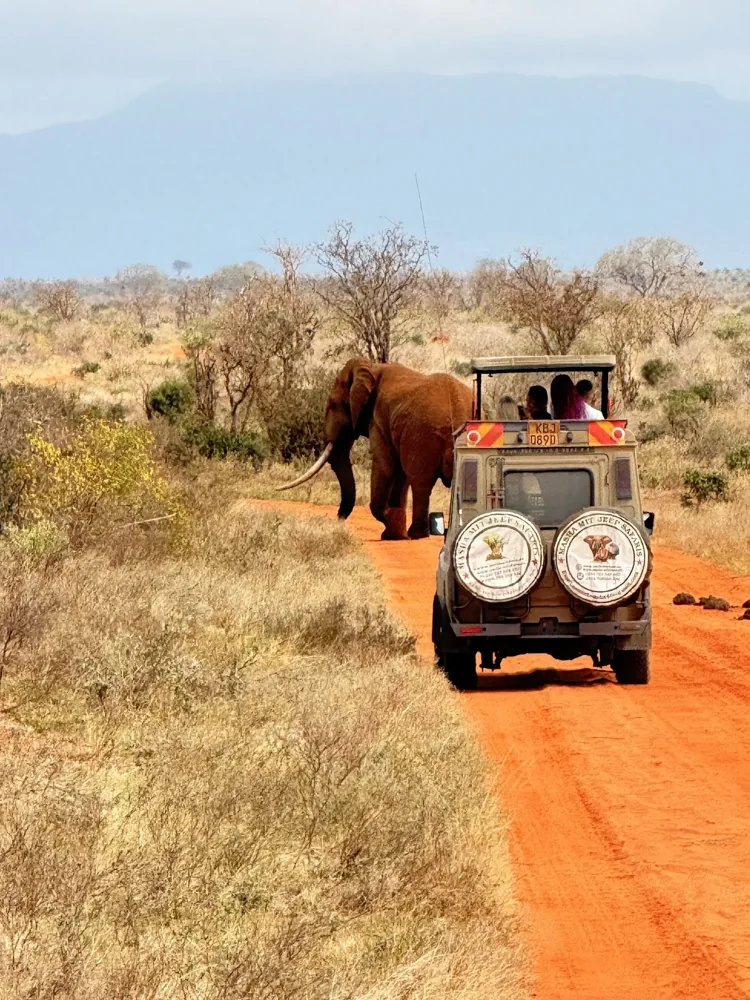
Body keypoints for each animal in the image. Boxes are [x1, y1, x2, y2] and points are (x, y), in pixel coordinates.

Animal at [278, 358, 473, 539]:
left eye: (334, 404)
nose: (338, 518)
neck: (371, 368)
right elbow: (400, 475)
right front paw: (395, 532)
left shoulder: (379, 421)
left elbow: (385, 465)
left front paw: (392, 524)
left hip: (424, 435)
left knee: (420, 483)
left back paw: (417, 534)